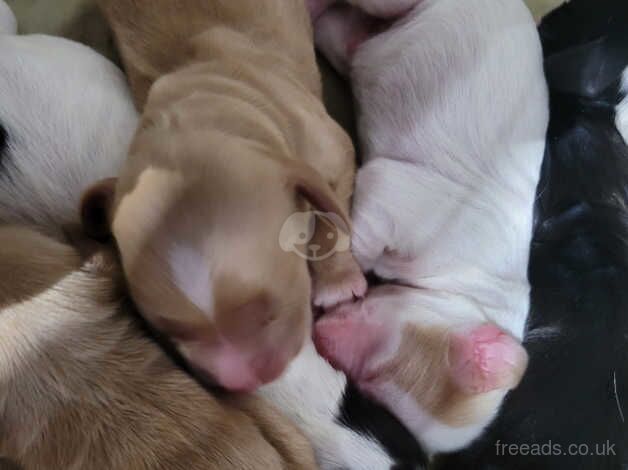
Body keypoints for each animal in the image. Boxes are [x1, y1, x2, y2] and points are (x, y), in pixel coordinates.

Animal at [83, 0, 368, 392]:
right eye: (171, 331)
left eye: (271, 312)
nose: (244, 382)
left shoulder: (329, 152)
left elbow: (330, 216)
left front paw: (337, 283)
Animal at [312, 0, 548, 454]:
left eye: (367, 388)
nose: (318, 336)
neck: (463, 290)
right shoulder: (396, 196)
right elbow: (362, 236)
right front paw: (342, 281)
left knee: (342, 33)